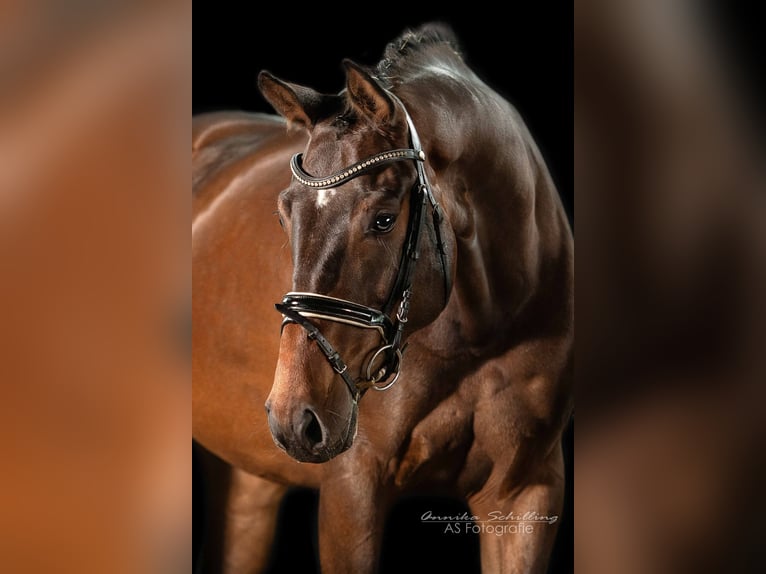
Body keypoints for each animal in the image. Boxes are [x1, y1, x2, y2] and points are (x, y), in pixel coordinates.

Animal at [195, 24, 572, 572]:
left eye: (384, 219)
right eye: (284, 214)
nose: (295, 418)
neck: (483, 329)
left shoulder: (527, 493)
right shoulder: (352, 492)